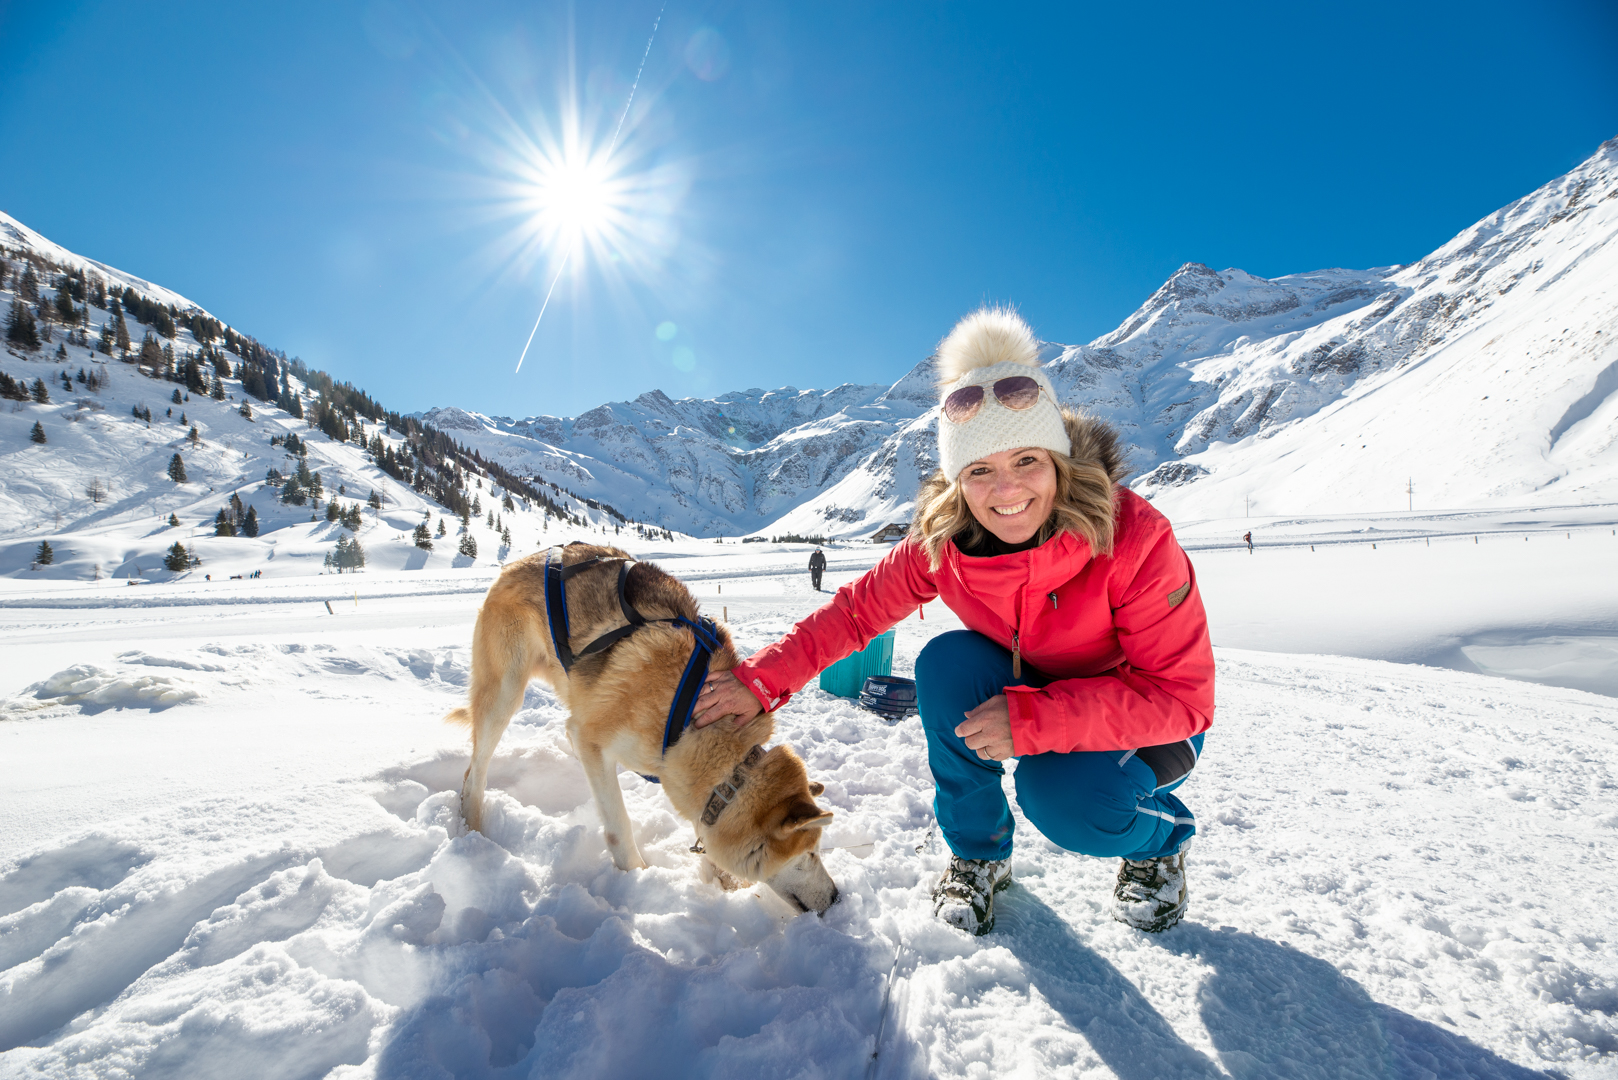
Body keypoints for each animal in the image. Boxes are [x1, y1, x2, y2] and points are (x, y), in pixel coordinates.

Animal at [449, 540, 841, 913]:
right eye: (810, 854)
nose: (838, 897)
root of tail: (517, 563)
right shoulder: (594, 742)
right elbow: (618, 826)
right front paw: (638, 877)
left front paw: (722, 880)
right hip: (504, 694)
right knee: (473, 773)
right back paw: (473, 830)